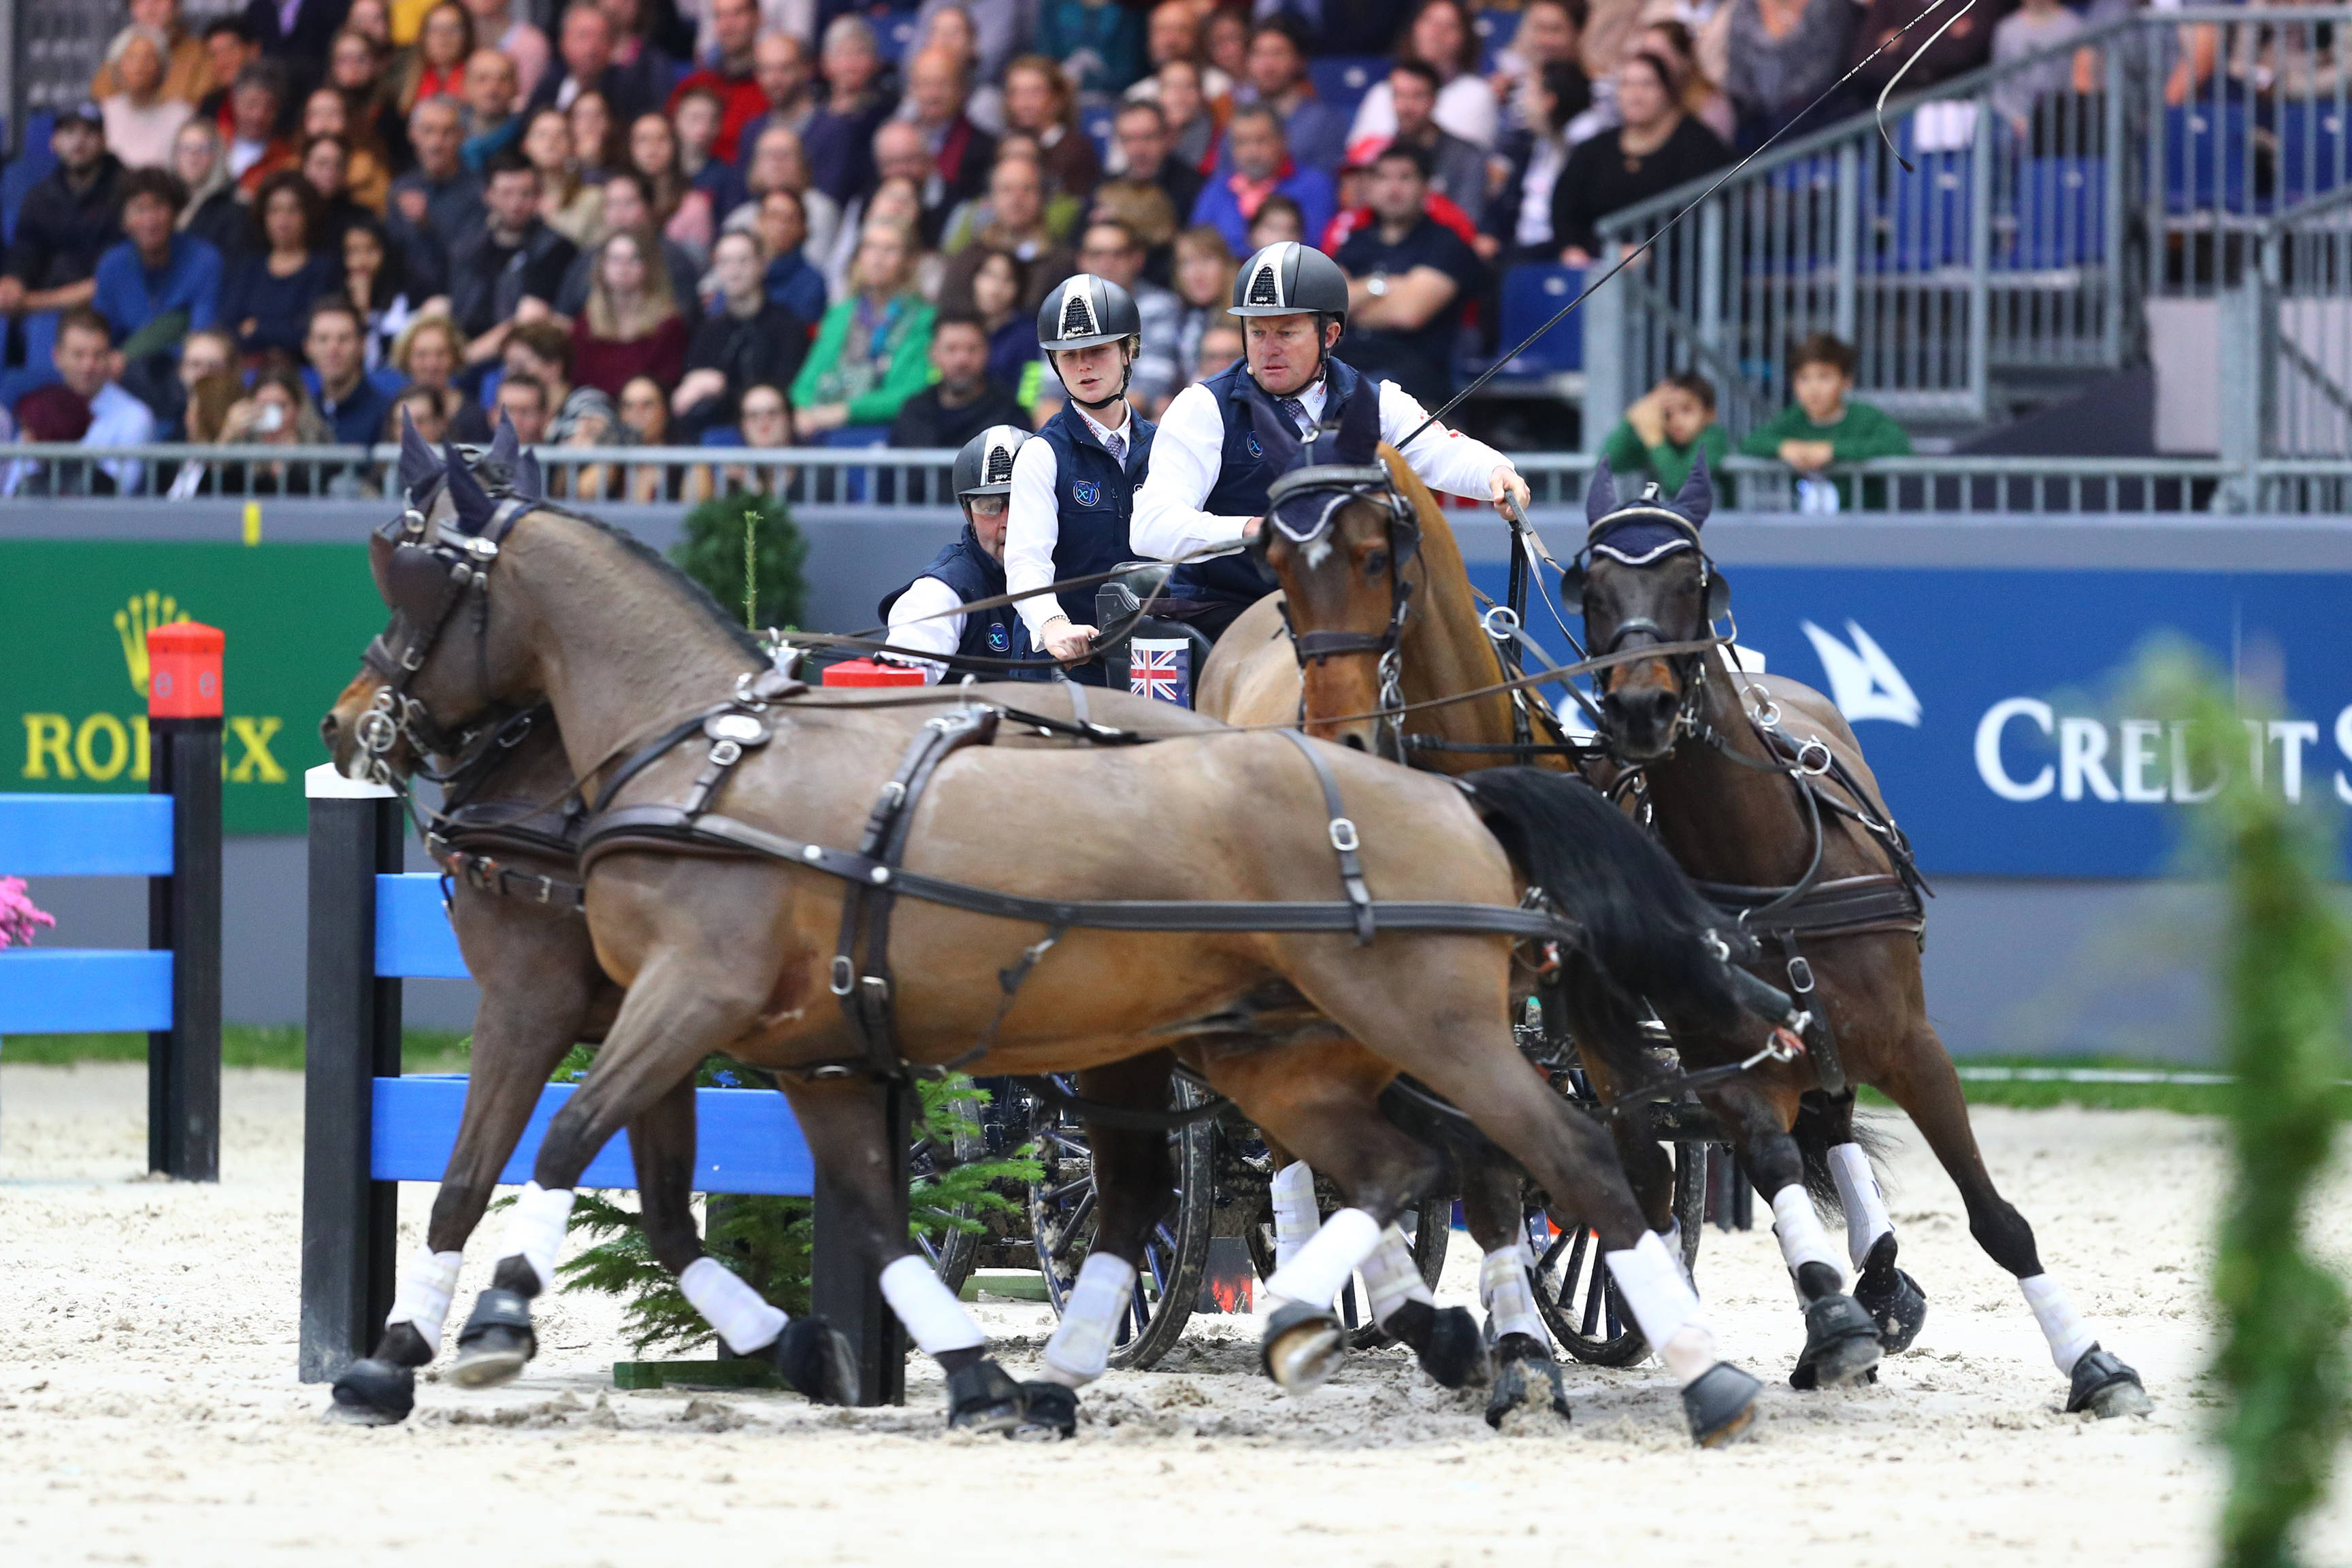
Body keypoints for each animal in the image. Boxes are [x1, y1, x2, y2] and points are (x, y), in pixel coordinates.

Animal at [317, 453, 1778, 1448]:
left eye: (411, 580)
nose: (352, 719)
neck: (703, 759)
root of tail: (1449, 794)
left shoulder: (658, 996)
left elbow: (539, 1150)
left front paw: (465, 1329)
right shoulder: (788, 1045)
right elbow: (807, 1210)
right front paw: (921, 1364)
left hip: (1414, 1026)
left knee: (1550, 1151)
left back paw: (1666, 1366)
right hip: (1270, 1049)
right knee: (1393, 1163)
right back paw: (1344, 1331)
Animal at [1241, 442, 2154, 1420]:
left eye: (1694, 580)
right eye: (1592, 589)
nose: (1640, 707)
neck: (1766, 875)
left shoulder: (1916, 1047)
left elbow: (1995, 1217)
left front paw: (2094, 1364)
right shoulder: (1728, 1067)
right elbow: (1765, 1163)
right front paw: (1830, 1322)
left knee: (1828, 1125)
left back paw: (1876, 1287)